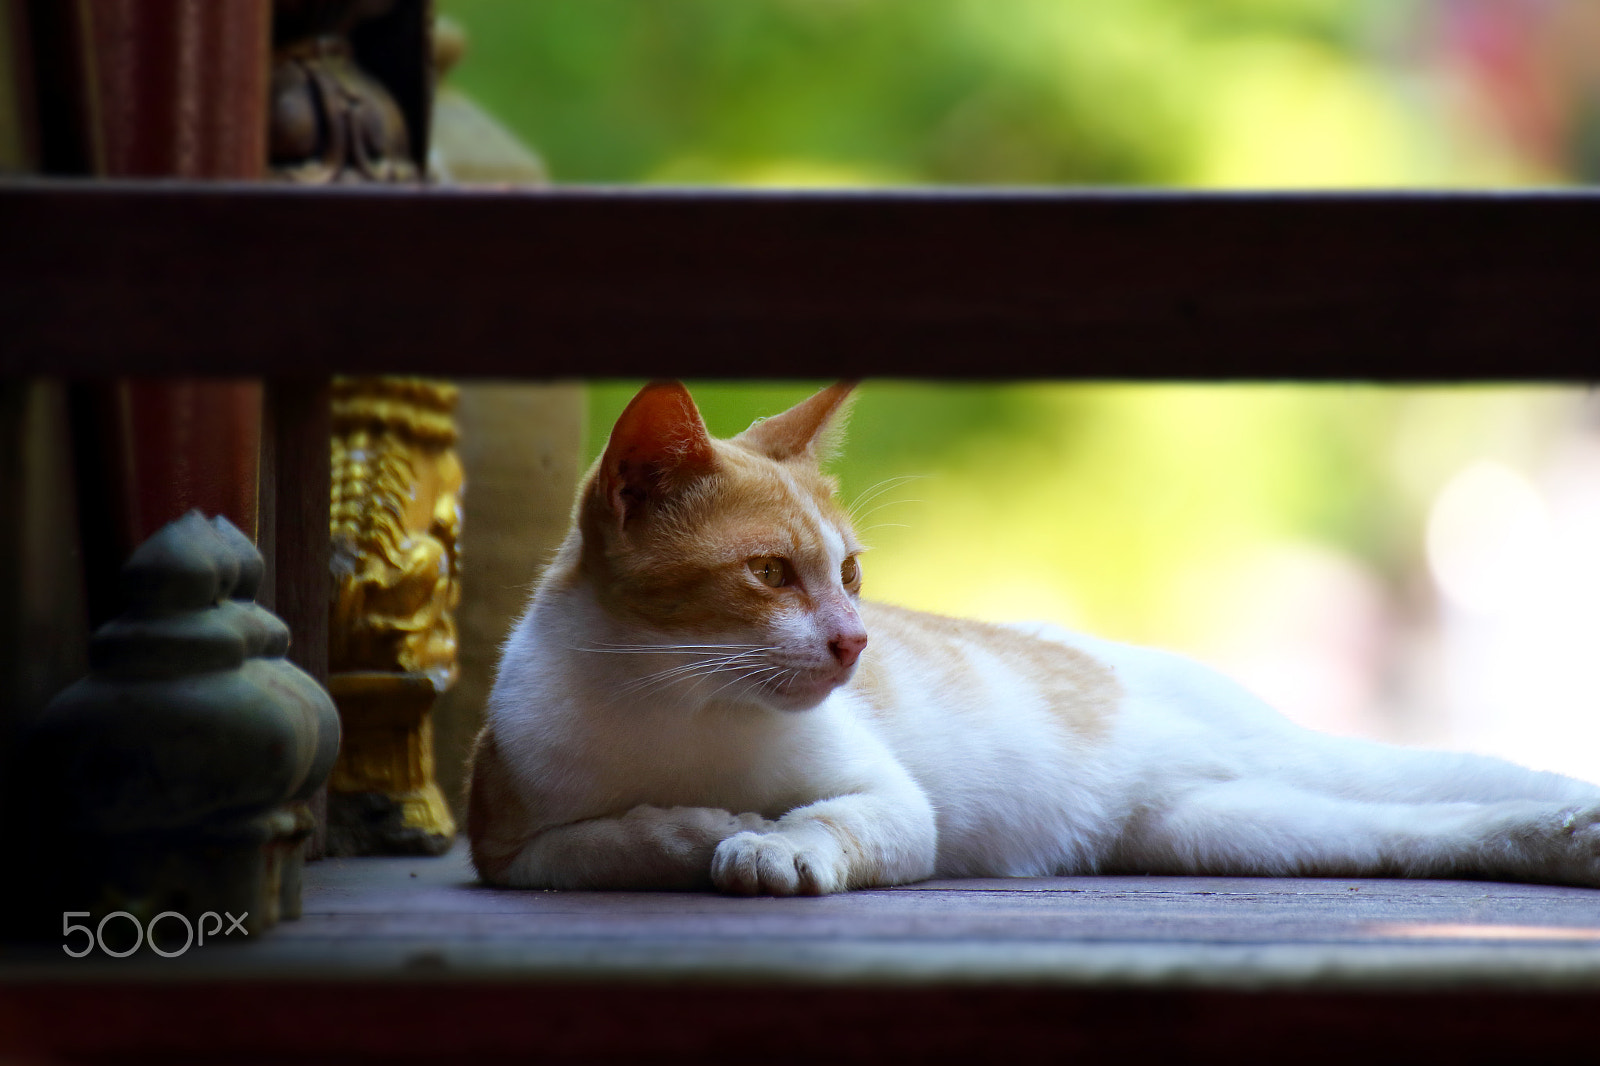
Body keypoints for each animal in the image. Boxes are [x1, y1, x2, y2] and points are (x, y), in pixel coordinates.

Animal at [467, 377, 1600, 889]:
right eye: (770, 574)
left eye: (851, 575)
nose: (853, 644)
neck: (674, 705)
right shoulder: (505, 841)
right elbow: (596, 841)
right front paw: (697, 828)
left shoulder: (894, 805)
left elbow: (828, 818)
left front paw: (767, 842)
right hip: (1227, 826)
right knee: (1421, 827)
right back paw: (1562, 841)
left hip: (1290, 765)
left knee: (1463, 776)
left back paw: (1572, 822)